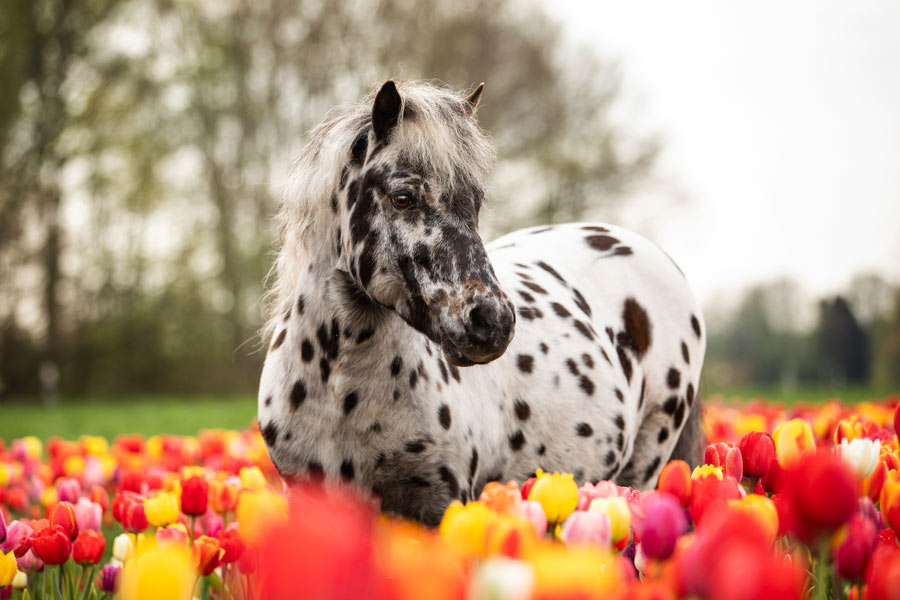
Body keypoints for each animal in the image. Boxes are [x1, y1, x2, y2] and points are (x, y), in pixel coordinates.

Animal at [256, 79, 708, 524]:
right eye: (403, 198)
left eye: (475, 202)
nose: (492, 323)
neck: (341, 393)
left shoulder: (442, 504)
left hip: (643, 467)